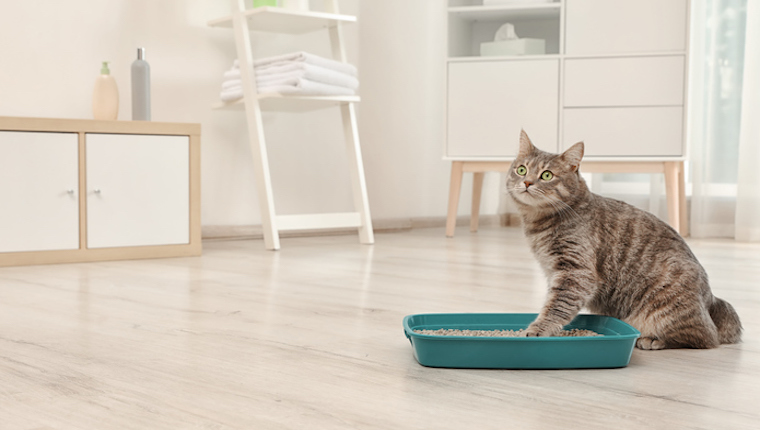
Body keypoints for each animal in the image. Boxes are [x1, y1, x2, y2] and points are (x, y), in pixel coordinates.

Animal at [508, 128, 740, 350]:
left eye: (547, 175)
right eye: (522, 170)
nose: (527, 182)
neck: (538, 223)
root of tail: (711, 300)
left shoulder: (575, 272)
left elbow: (557, 306)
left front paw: (538, 329)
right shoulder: (554, 271)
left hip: (667, 307)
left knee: (705, 337)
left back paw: (654, 339)